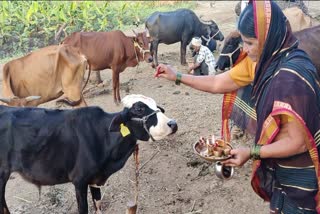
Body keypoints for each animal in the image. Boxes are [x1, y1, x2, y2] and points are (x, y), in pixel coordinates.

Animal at [0, 94, 178, 214]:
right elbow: (83, 209)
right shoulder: (79, 181)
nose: (173, 124)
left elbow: (98, 206)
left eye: (156, 106)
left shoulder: (95, 179)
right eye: (139, 109)